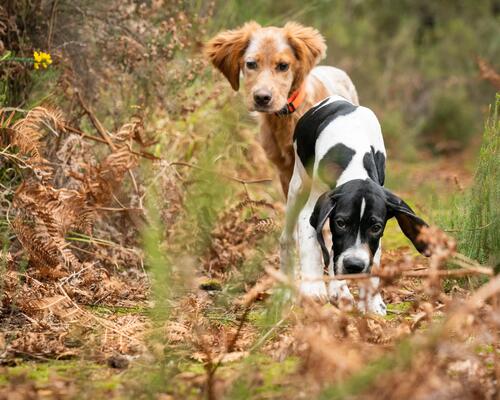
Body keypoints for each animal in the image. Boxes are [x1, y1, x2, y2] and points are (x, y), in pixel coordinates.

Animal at [280, 95, 428, 314]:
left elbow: (371, 257)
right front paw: (313, 289)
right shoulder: (311, 212)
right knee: (287, 238)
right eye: (341, 222)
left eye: (376, 227)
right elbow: (312, 249)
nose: (354, 266)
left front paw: (372, 302)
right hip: (297, 186)